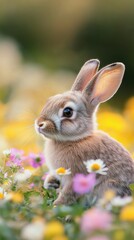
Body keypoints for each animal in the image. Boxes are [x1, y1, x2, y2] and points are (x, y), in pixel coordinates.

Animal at [34, 59, 134, 205]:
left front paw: (56, 206)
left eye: (67, 112)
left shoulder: (77, 175)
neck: (77, 139)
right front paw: (50, 183)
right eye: (49, 101)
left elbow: (68, 193)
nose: (39, 124)